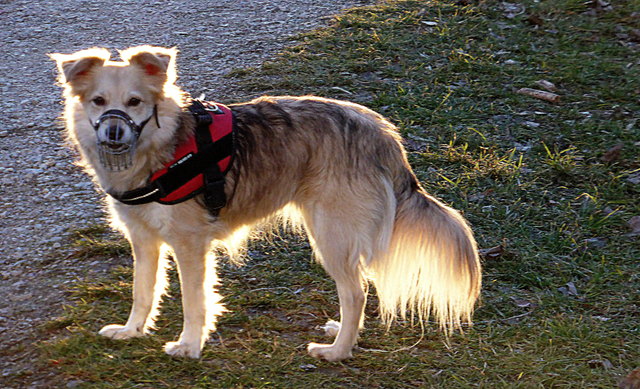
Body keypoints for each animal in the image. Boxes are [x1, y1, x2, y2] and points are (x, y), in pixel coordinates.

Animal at [50, 46, 480, 360]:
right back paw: (342, 334)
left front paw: (189, 345)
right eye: (98, 101)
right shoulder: (143, 240)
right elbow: (143, 291)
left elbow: (194, 300)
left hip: (331, 235)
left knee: (356, 292)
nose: (113, 132)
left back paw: (337, 350)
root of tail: (383, 133)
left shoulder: (190, 244)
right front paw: (132, 330)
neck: (162, 148)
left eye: (136, 102)